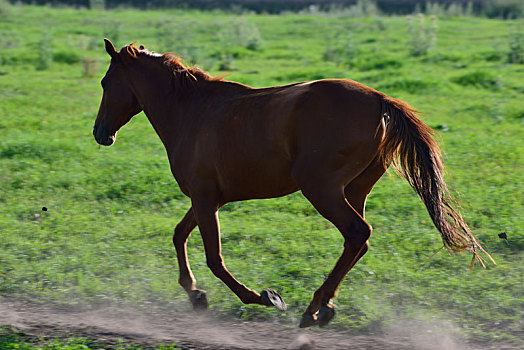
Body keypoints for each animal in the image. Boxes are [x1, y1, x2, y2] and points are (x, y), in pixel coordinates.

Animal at [92, 39, 494, 330]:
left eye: (105, 82)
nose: (100, 133)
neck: (191, 110)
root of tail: (382, 101)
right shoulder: (207, 199)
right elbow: (179, 236)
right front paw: (196, 295)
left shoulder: (205, 199)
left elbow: (214, 258)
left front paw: (265, 297)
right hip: (354, 190)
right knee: (358, 241)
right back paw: (324, 307)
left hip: (321, 188)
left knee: (357, 233)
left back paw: (313, 308)